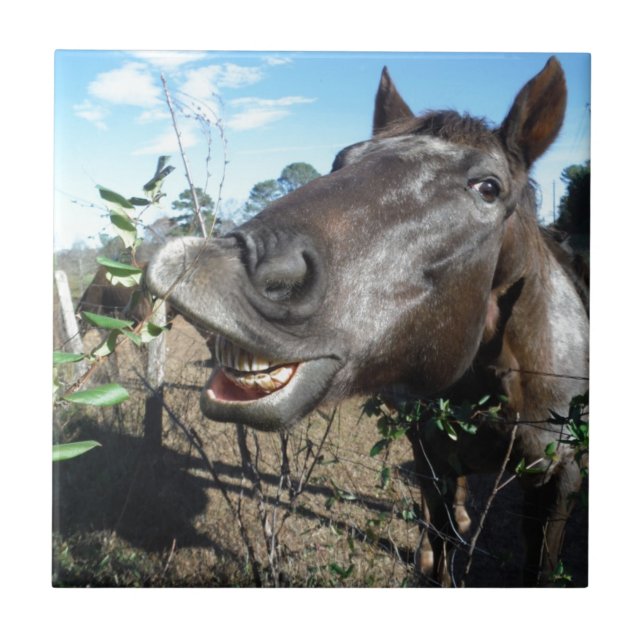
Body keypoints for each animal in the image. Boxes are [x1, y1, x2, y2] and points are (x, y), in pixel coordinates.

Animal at [147, 57, 589, 586]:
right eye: (344, 158)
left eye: (488, 187)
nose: (209, 265)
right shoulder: (434, 459)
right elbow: (442, 542)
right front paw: (434, 552)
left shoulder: (561, 479)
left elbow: (540, 566)